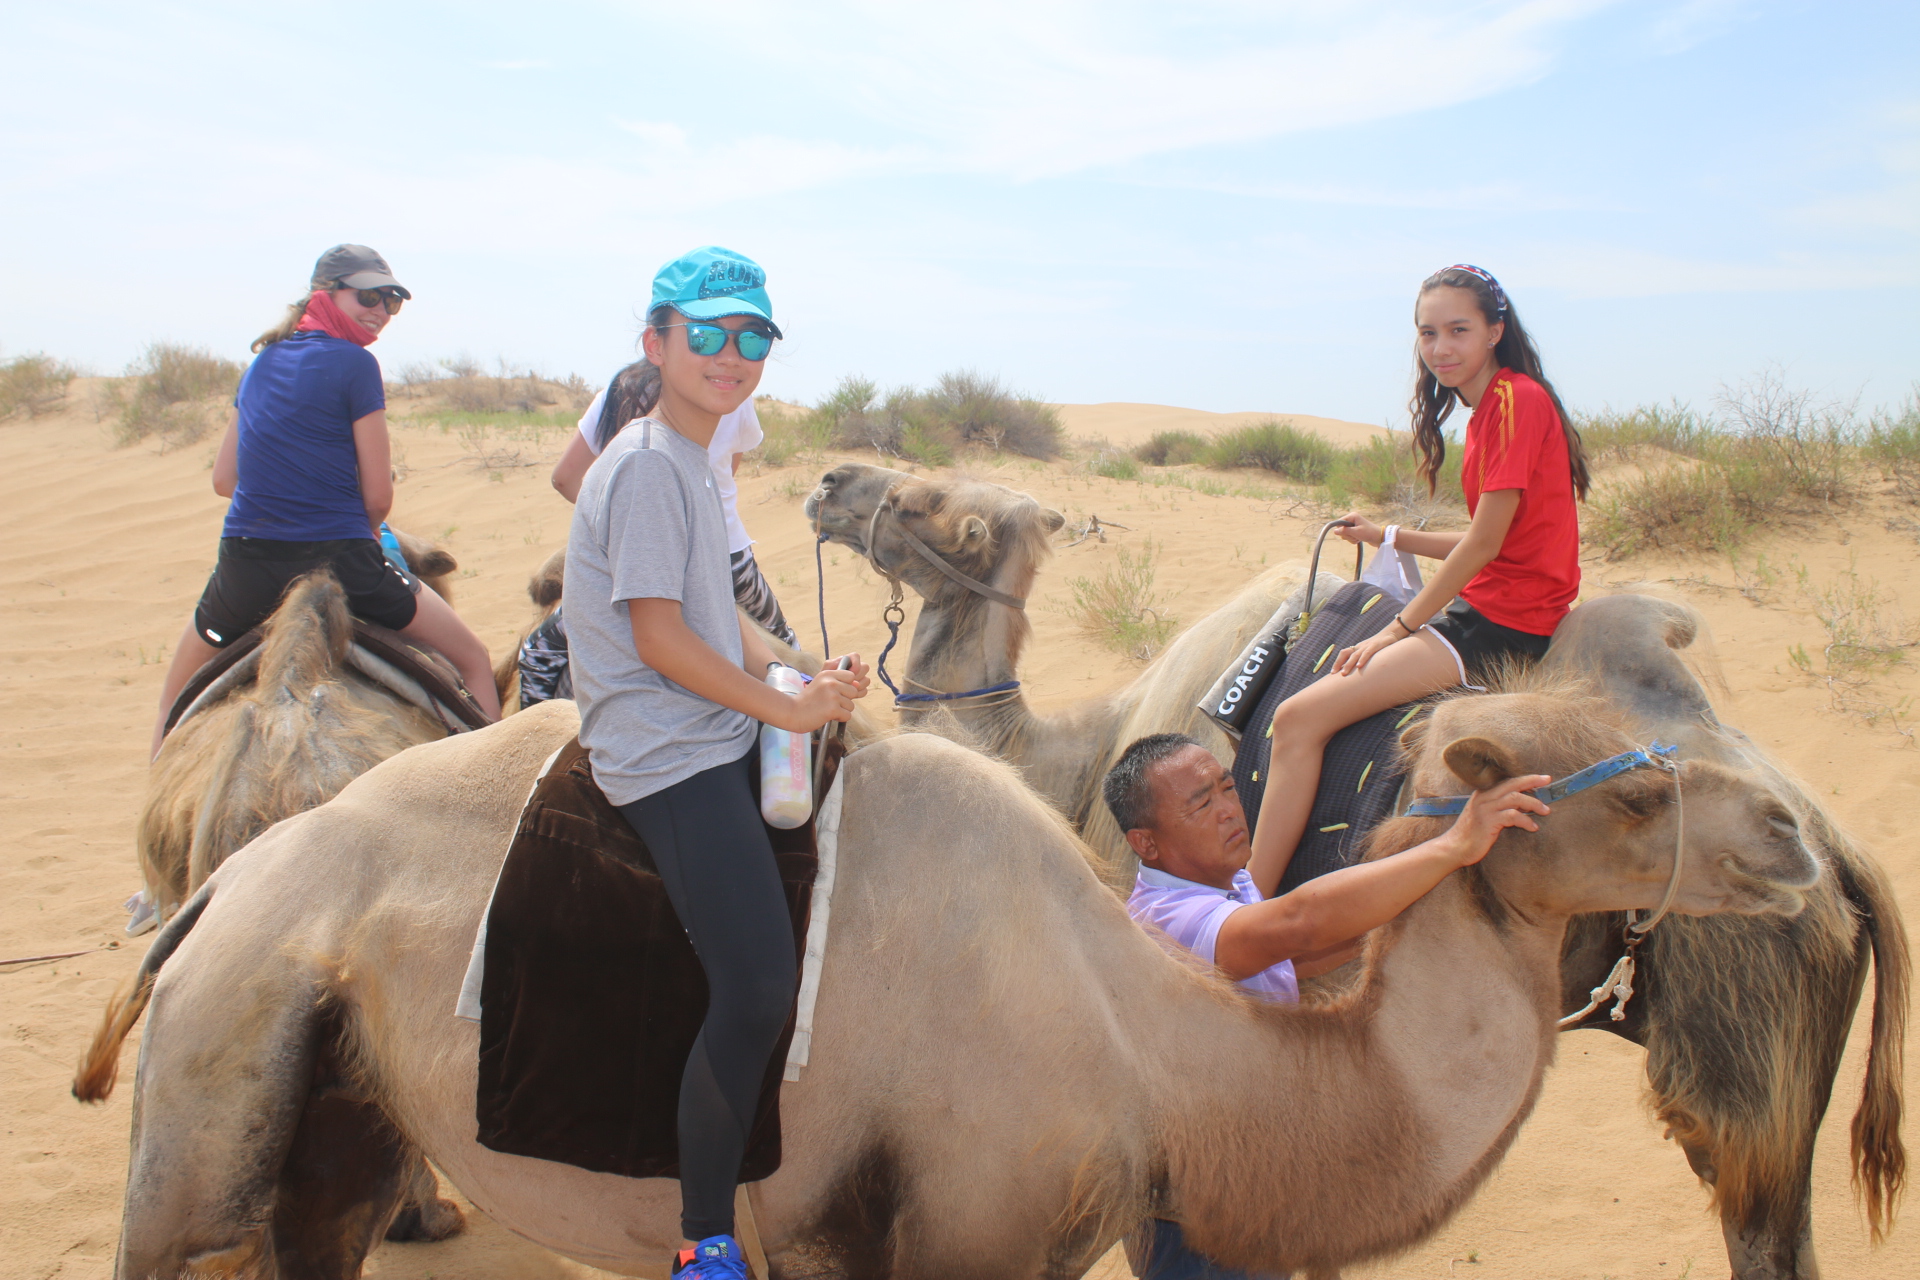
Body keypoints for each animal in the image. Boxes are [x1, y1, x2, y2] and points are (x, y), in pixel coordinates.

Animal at [74, 671, 1812, 1280]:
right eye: (1630, 793)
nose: (1796, 834)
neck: (1153, 1050)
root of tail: (220, 885)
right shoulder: (964, 1224)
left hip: (341, 1088)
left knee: (324, 1223)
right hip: (220, 1063)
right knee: (191, 1232)